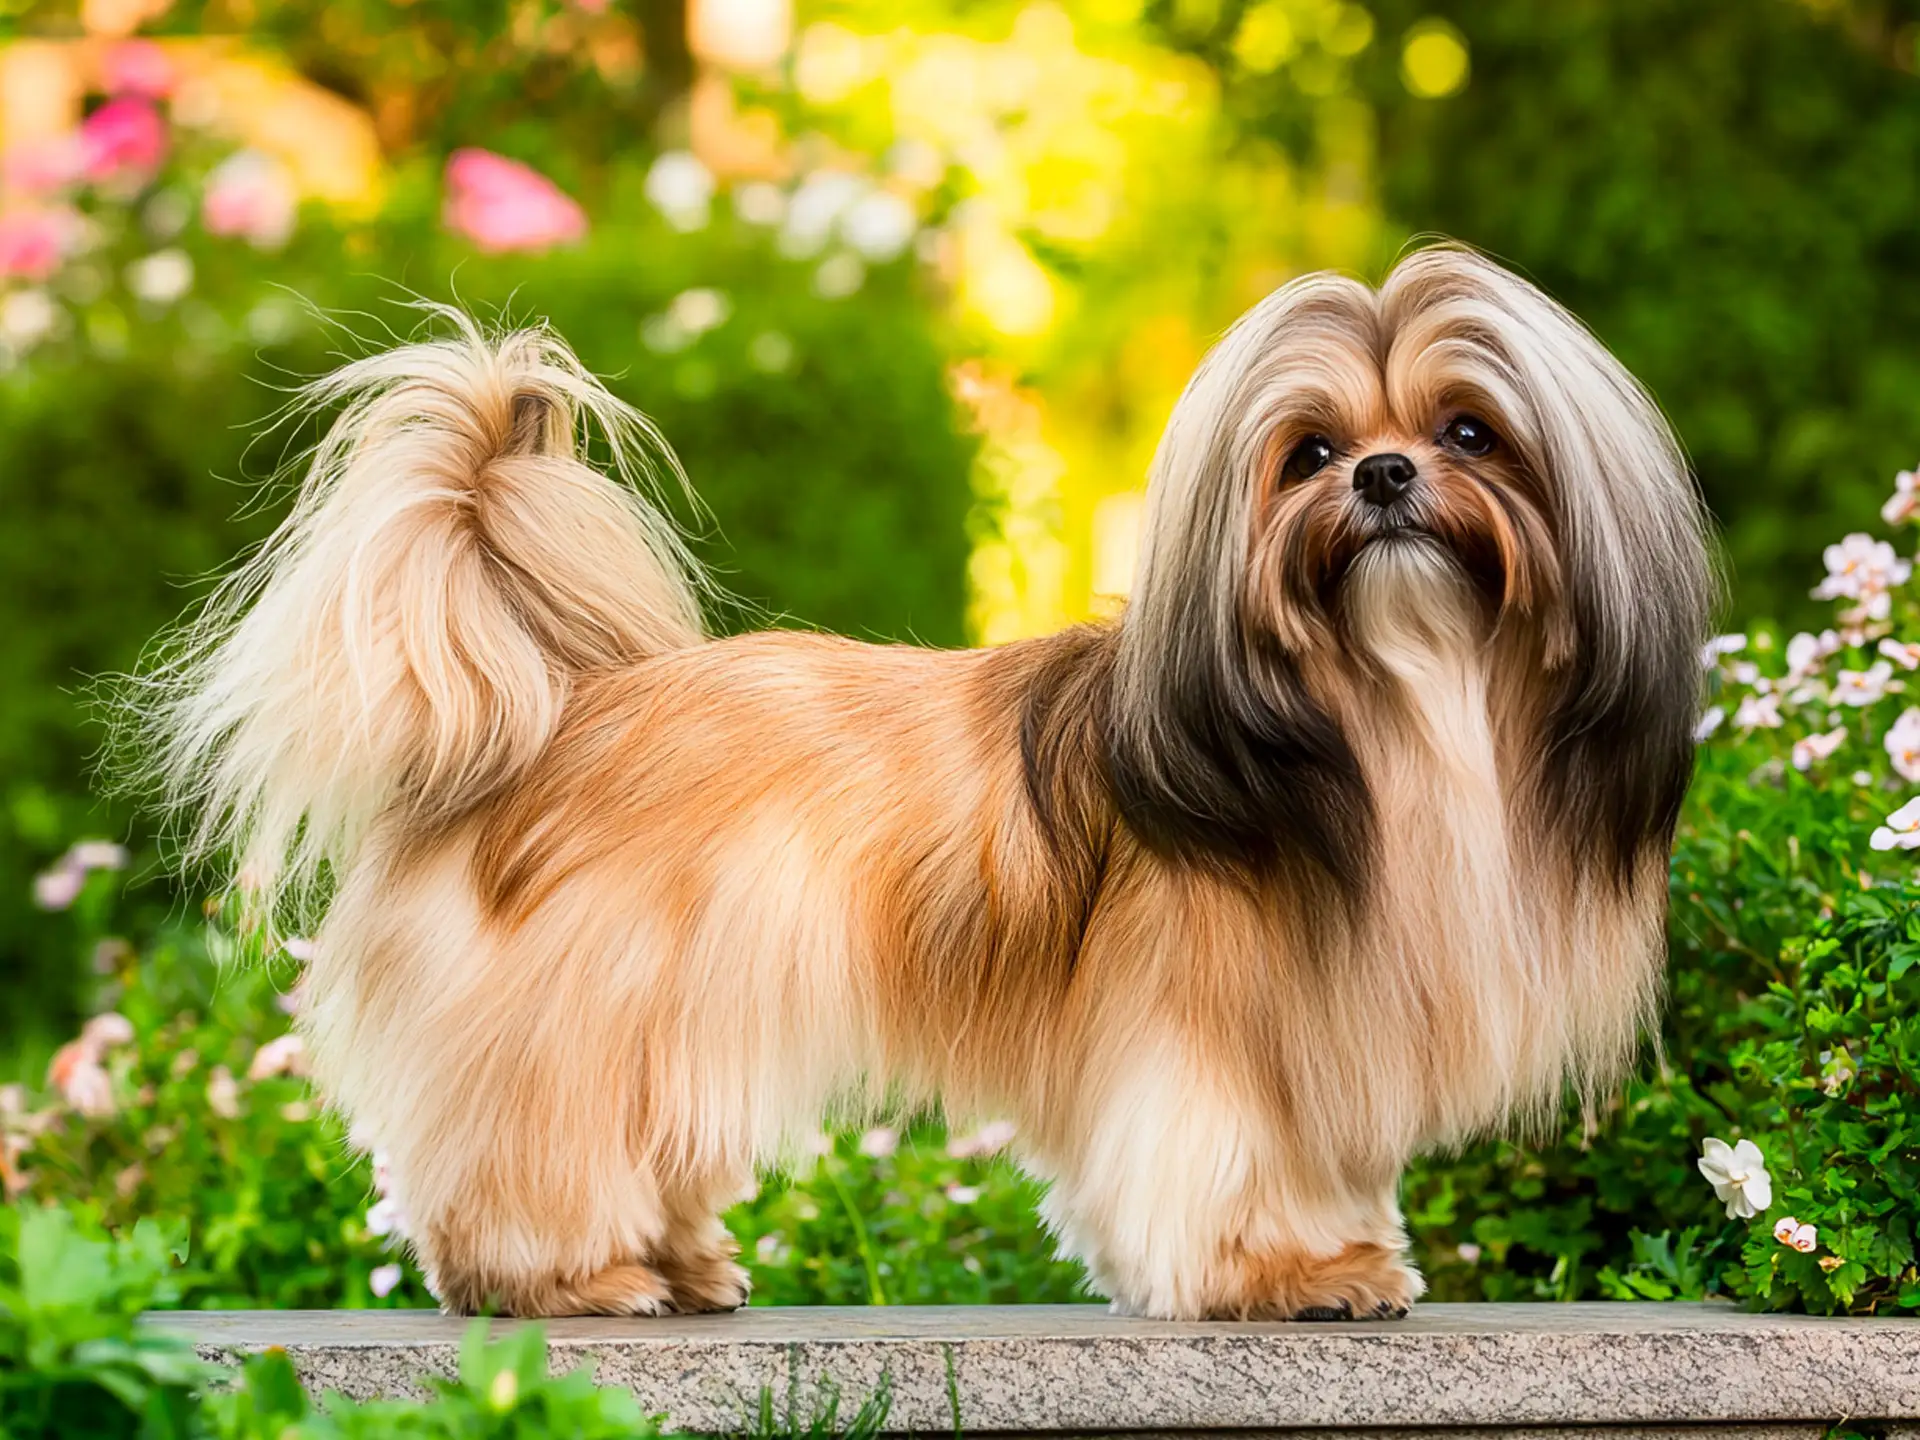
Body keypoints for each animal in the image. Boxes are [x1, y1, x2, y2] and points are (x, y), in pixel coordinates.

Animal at [139, 245, 1728, 1320]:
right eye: (1310, 452)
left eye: (1470, 432)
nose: (1385, 479)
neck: (1391, 704)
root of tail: (555, 715)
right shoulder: (1210, 1029)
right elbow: (1223, 1162)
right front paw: (1279, 1272)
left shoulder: (1320, 1030)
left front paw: (1339, 1254)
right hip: (576, 1016)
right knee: (518, 1166)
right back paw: (574, 1280)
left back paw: (683, 1263)